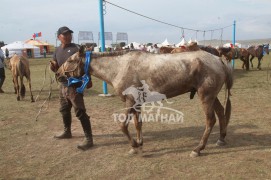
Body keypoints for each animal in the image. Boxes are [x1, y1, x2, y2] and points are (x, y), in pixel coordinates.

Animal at [55, 46, 234, 158]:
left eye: (70, 60)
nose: (57, 74)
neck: (119, 67)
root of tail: (219, 60)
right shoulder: (137, 104)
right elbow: (137, 123)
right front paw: (139, 144)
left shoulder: (129, 102)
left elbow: (123, 126)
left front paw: (134, 145)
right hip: (212, 97)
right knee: (221, 113)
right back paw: (221, 139)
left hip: (206, 97)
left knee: (210, 120)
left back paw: (198, 149)